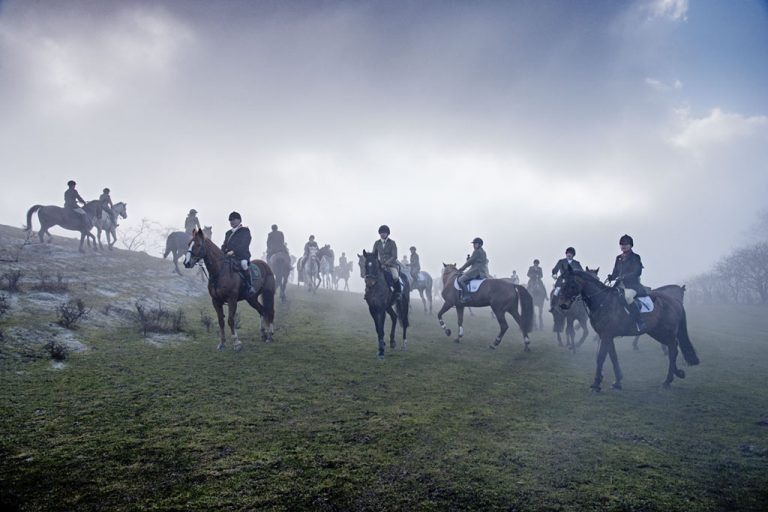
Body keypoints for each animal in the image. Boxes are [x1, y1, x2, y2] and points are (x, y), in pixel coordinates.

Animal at [556, 268, 700, 392]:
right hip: (656, 332)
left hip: (665, 333)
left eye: (572, 284)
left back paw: (668, 380)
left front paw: (596, 384)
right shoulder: (607, 336)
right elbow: (613, 356)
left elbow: (601, 357)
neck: (602, 301)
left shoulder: (606, 335)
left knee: (673, 350)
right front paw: (617, 381)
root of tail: (675, 301)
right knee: (672, 349)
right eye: (562, 283)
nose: (563, 304)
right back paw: (675, 375)